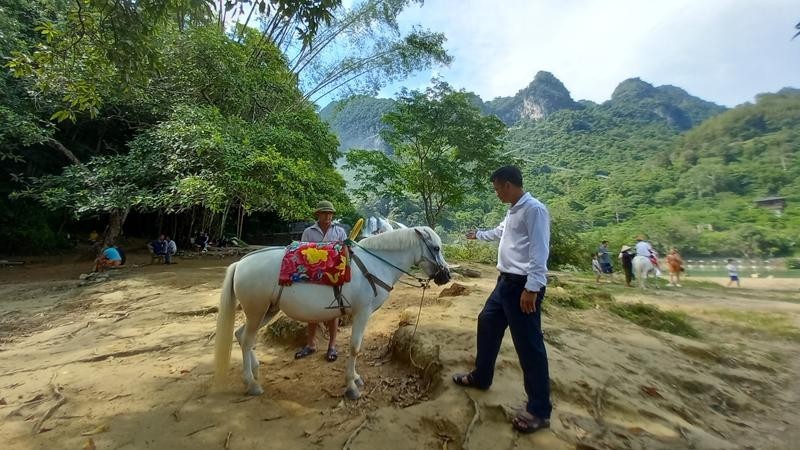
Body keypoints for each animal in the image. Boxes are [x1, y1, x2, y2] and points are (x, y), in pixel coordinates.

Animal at [212, 227, 450, 400]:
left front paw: (355, 378)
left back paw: (254, 371)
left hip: (267, 311)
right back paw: (251, 383)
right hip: (256, 310)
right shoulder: (362, 313)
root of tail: (241, 263)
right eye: (436, 248)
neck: (374, 265)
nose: (446, 276)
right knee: (246, 339)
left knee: (241, 335)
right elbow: (355, 348)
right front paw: (351, 386)